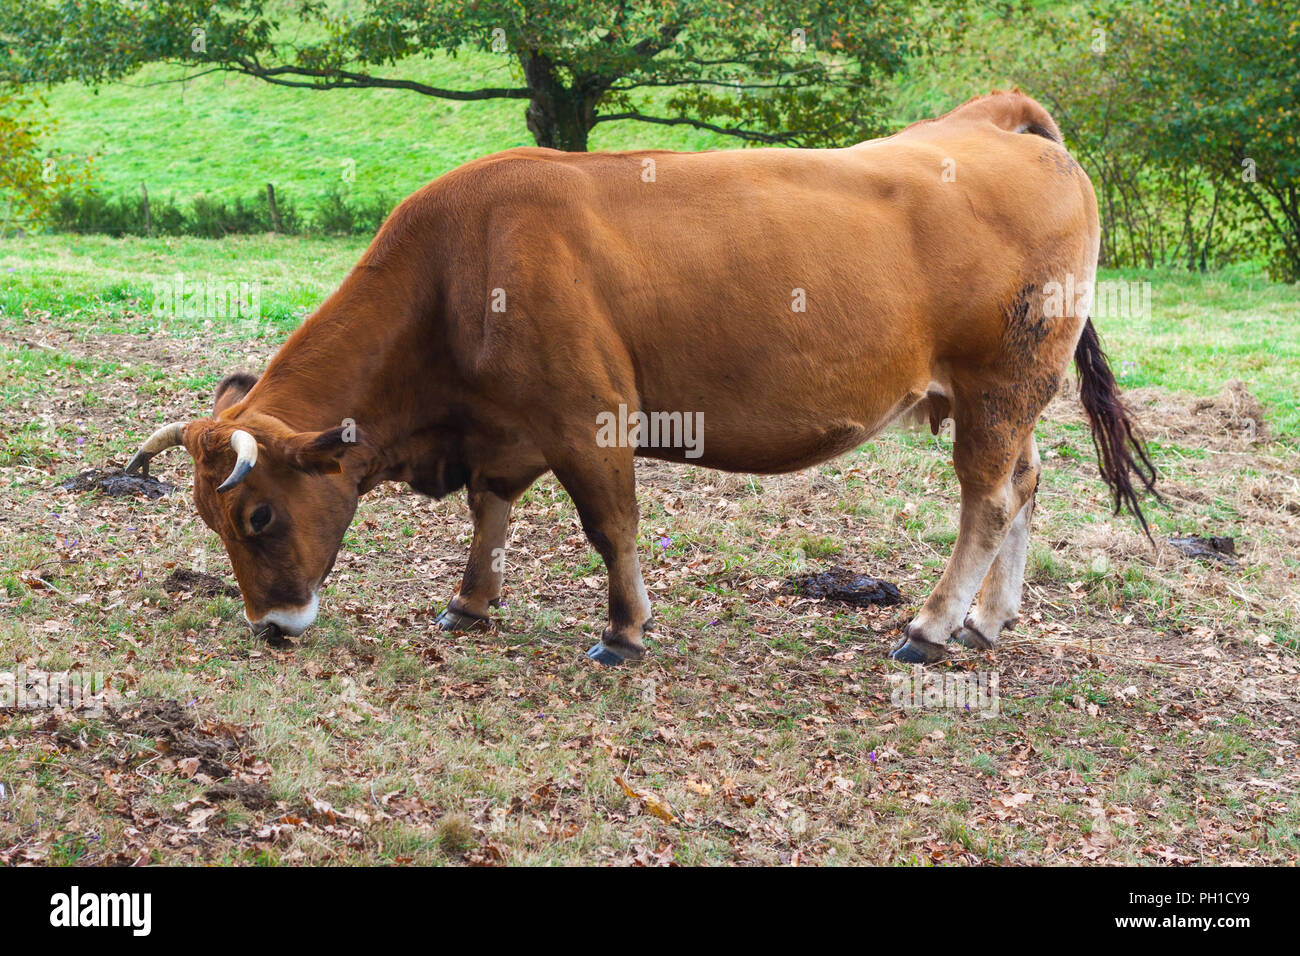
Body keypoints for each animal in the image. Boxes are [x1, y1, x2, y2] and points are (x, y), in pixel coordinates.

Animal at [125, 90, 1156, 666]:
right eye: (210, 519)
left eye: (259, 516)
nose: (273, 624)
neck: (460, 266)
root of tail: (1000, 125)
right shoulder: (503, 428)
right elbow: (491, 514)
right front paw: (470, 604)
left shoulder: (592, 418)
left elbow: (608, 525)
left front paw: (623, 632)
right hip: (1007, 399)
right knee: (1026, 483)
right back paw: (988, 621)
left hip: (999, 386)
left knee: (988, 497)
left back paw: (933, 627)